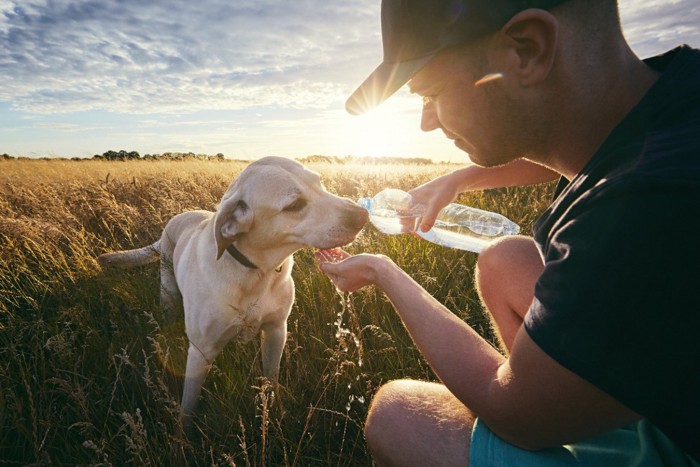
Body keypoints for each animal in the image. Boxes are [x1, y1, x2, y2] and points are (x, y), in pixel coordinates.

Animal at [100, 158, 370, 432]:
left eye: (320, 182)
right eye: (294, 205)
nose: (363, 216)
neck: (256, 272)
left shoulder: (276, 331)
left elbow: (272, 379)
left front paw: (277, 414)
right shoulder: (201, 350)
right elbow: (189, 402)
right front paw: (183, 437)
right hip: (168, 292)